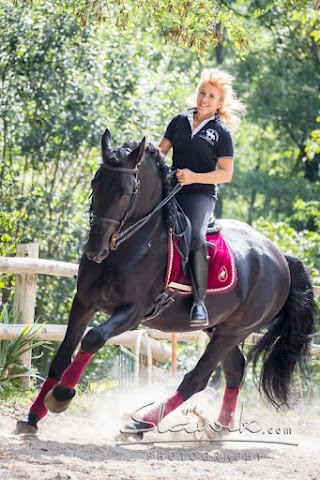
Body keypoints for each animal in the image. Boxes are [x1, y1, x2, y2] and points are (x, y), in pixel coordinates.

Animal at [16, 130, 316, 436]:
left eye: (125, 193)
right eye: (95, 183)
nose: (95, 250)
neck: (131, 245)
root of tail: (281, 258)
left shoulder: (133, 313)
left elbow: (94, 338)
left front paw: (61, 396)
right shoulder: (84, 302)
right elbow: (61, 356)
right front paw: (33, 416)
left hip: (235, 330)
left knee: (197, 379)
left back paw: (142, 422)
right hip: (220, 328)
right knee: (235, 370)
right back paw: (220, 428)